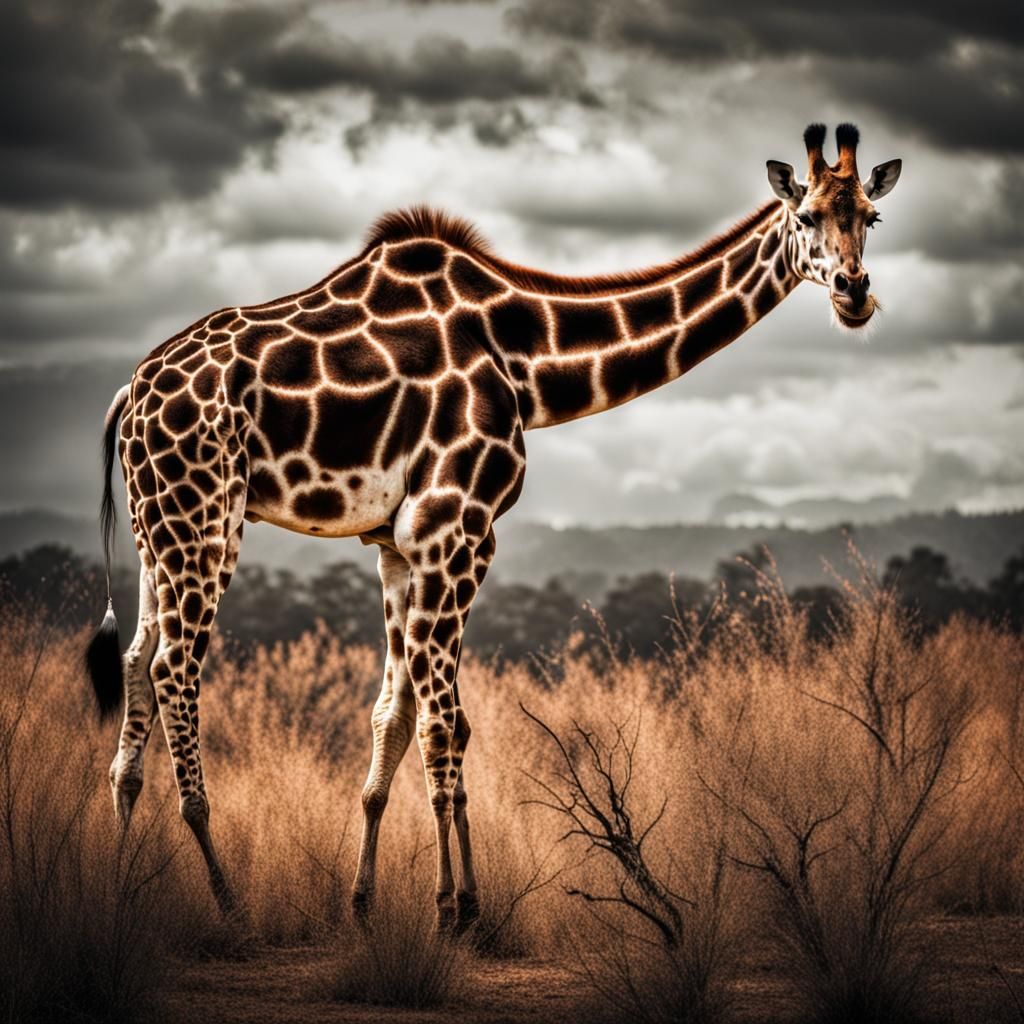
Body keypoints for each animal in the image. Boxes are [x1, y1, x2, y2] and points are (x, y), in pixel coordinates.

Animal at [85, 124, 901, 929]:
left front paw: (366, 901)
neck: (528, 360)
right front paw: (458, 908)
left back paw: (121, 884)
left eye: (871, 216)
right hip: (203, 516)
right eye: (806, 218)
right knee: (175, 670)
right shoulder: (458, 526)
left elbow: (395, 713)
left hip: (157, 531)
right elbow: (447, 722)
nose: (855, 292)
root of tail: (128, 393)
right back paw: (224, 893)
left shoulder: (398, 544)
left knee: (135, 663)